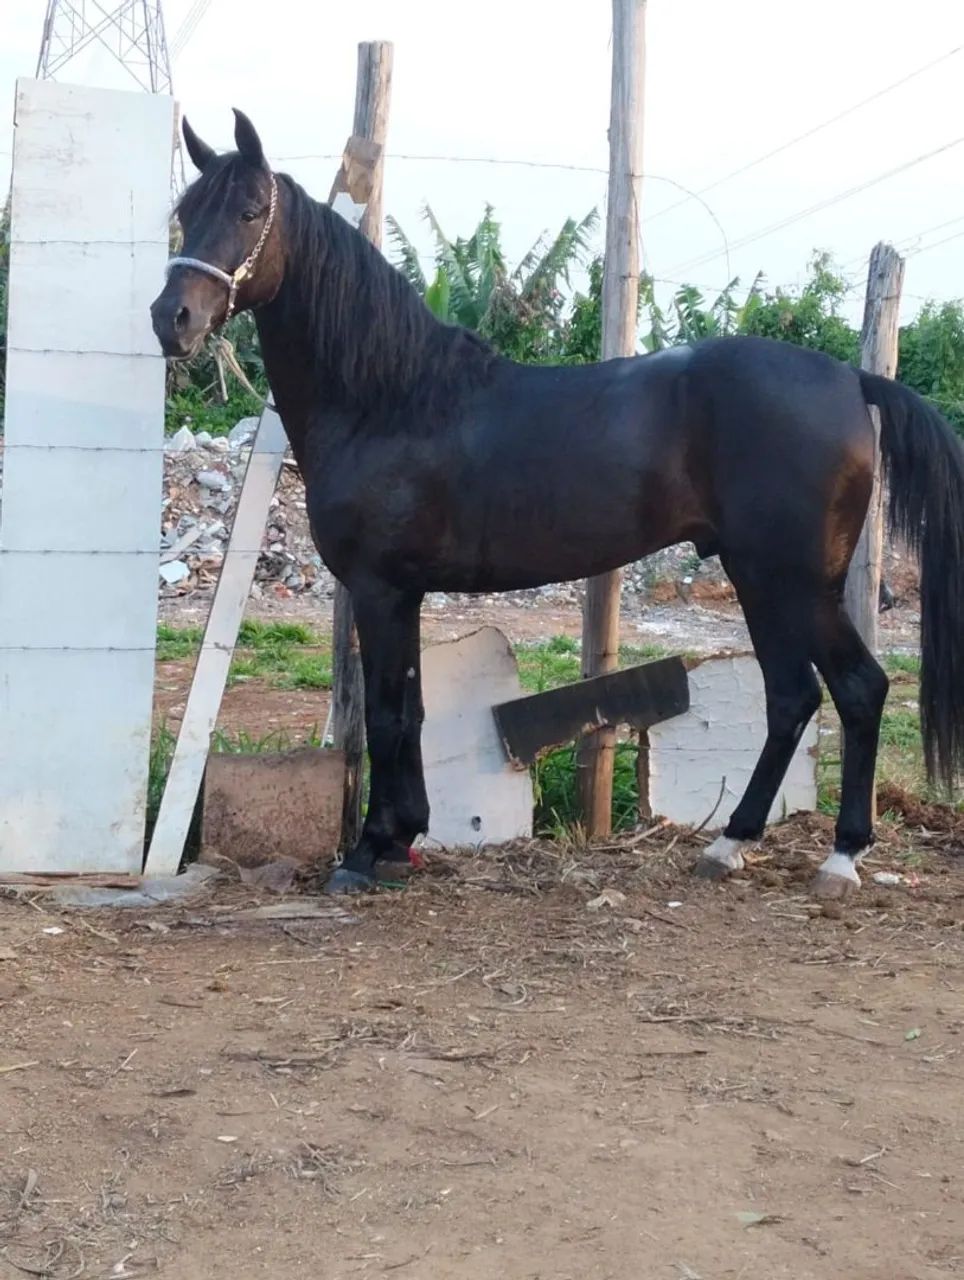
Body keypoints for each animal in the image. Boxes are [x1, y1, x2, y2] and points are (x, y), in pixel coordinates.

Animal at [150, 110, 964, 899]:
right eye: (184, 211)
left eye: (251, 210)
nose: (172, 319)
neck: (391, 399)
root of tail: (851, 380)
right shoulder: (405, 593)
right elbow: (410, 709)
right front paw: (404, 837)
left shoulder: (380, 590)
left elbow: (385, 712)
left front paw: (367, 850)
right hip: (766, 580)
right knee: (798, 697)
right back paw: (736, 843)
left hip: (789, 581)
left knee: (850, 690)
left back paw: (836, 856)